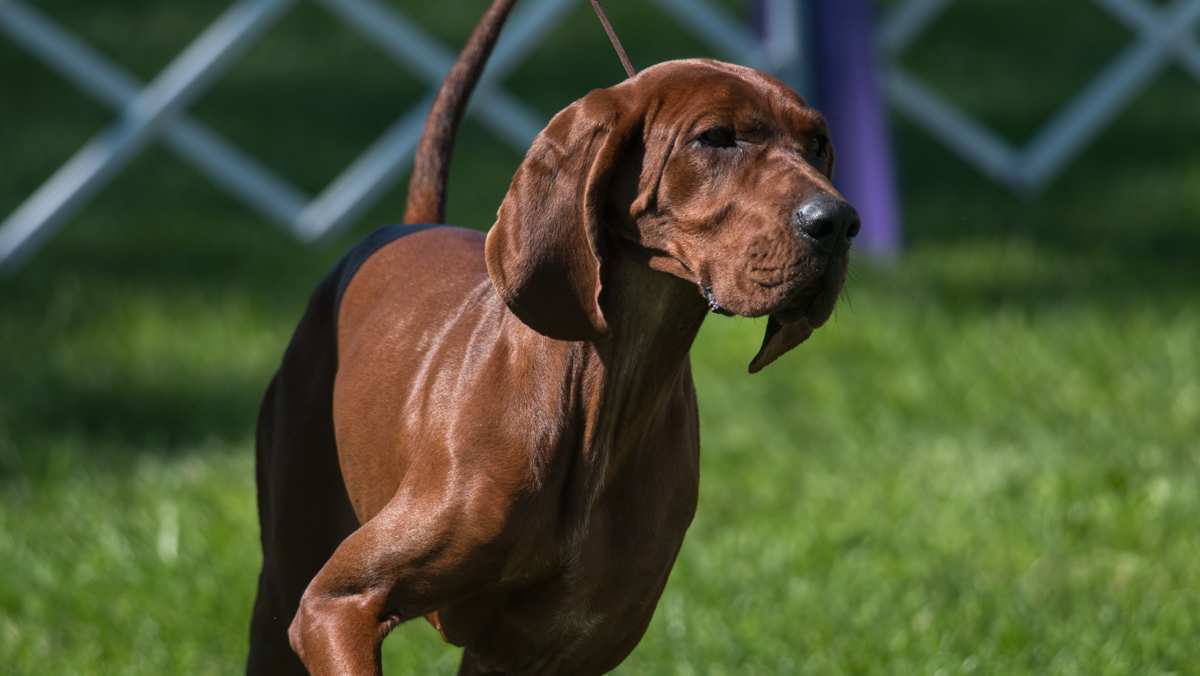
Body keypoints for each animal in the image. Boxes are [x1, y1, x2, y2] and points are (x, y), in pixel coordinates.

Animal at [248, 2, 859, 672]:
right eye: (715, 138)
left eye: (818, 143)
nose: (839, 223)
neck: (604, 399)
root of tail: (411, 226)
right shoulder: (336, 606)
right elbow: (342, 605)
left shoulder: (550, 649)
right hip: (284, 576)